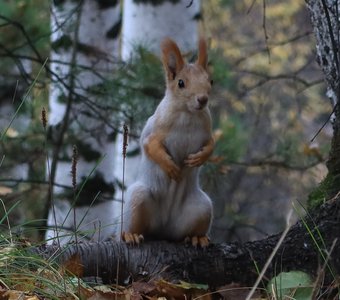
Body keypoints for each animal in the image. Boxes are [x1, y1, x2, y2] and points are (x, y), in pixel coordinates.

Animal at [121, 38, 214, 248]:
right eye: (181, 83)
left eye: (210, 80)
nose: (203, 99)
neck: (187, 114)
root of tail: (163, 229)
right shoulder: (153, 131)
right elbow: (150, 146)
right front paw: (170, 167)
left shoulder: (207, 131)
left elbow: (212, 145)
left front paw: (199, 159)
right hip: (138, 199)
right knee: (135, 225)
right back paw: (130, 235)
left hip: (202, 208)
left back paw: (197, 237)